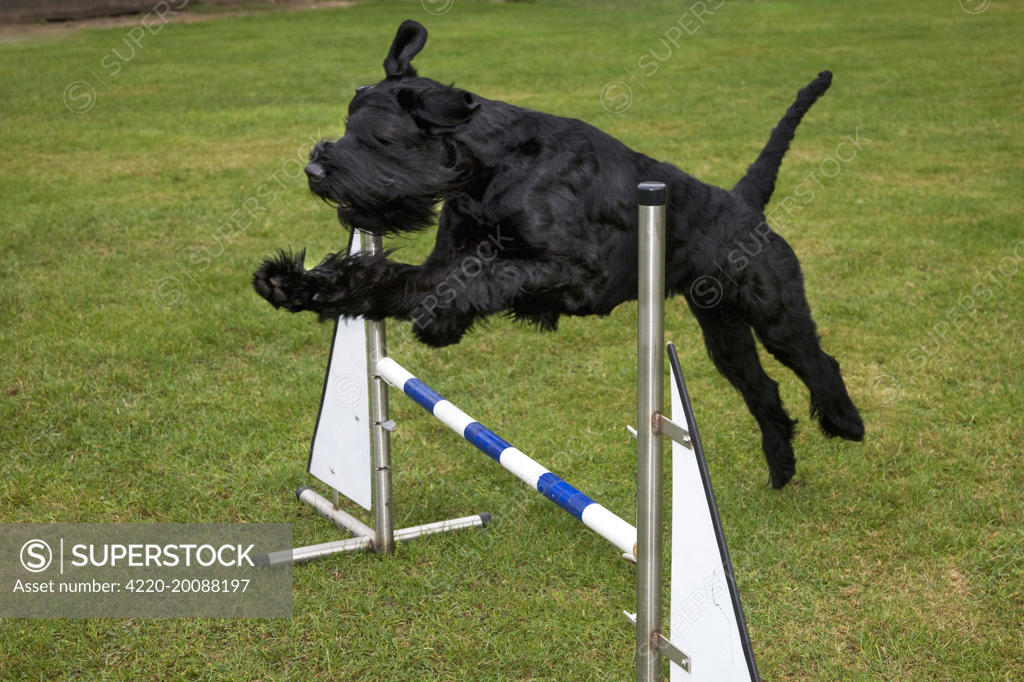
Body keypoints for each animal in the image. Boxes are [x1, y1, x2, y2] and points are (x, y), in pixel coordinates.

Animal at [251, 19, 860, 489]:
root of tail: (744, 201)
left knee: (817, 362)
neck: (490, 167)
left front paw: (442, 317)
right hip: (724, 333)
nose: (313, 169)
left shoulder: (578, 272)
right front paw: (293, 284)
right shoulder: (436, 268)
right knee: (762, 389)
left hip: (775, 314)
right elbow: (379, 279)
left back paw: (845, 420)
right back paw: (782, 465)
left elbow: (493, 273)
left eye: (375, 136)